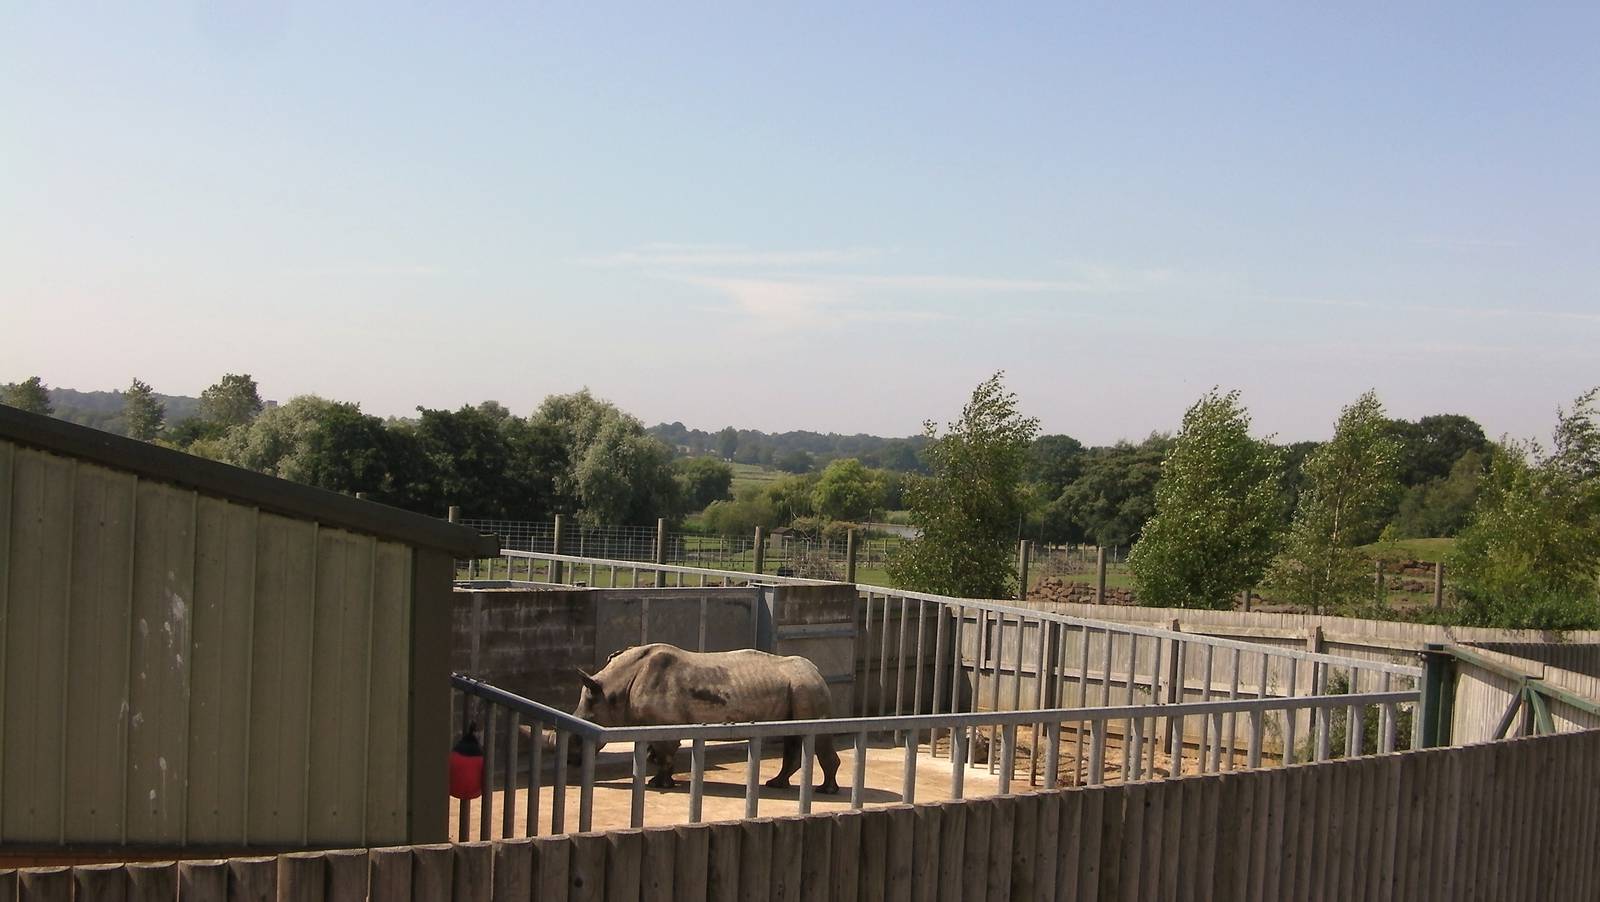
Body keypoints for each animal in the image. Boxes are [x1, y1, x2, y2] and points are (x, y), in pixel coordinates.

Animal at [574, 643, 841, 794]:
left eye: (580, 736)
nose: (572, 761)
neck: (614, 688)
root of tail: (817, 671)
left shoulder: (664, 723)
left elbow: (665, 752)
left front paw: (657, 784)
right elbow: (663, 753)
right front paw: (663, 781)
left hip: (807, 688)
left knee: (812, 737)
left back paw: (826, 791)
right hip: (799, 688)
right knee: (793, 736)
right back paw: (776, 784)